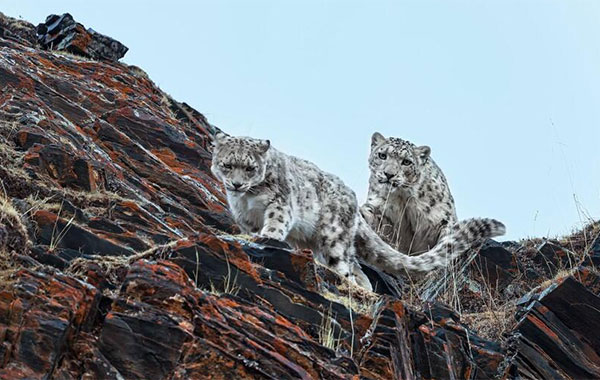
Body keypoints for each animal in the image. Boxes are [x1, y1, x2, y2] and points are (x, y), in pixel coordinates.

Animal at [212, 132, 506, 290]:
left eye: (406, 162)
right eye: (382, 155)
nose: (388, 175)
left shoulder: (279, 203)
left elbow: (276, 220)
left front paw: (269, 237)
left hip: (332, 236)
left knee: (344, 265)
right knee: (354, 266)